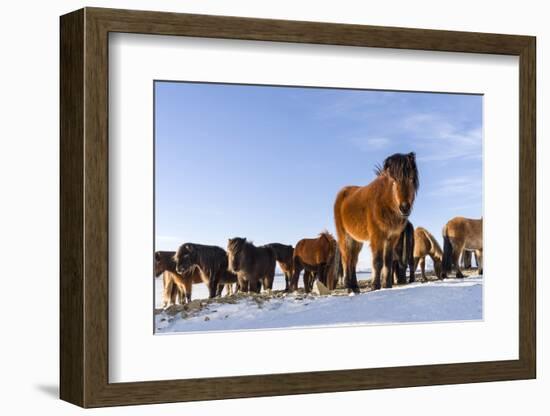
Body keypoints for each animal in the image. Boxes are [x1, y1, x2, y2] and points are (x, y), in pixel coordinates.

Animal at [334, 153, 420, 292]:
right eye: (394, 180)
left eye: (411, 179)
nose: (404, 208)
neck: (384, 203)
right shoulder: (377, 237)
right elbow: (377, 262)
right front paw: (375, 286)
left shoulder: (391, 238)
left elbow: (388, 262)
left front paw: (387, 285)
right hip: (344, 236)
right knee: (347, 258)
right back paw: (349, 286)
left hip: (356, 240)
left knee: (353, 260)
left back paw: (355, 287)